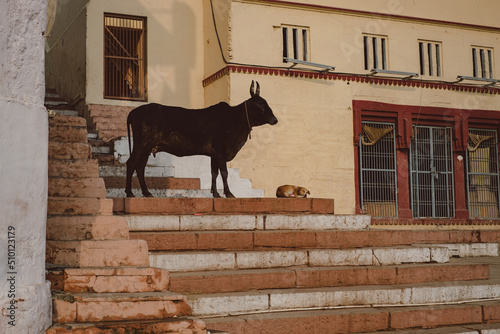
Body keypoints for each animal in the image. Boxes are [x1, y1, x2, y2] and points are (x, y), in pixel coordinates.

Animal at [126, 79, 278, 197]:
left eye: (265, 102)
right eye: (258, 104)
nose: (274, 119)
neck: (234, 119)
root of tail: (134, 111)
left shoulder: (214, 154)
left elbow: (214, 173)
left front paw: (216, 193)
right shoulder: (220, 151)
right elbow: (224, 172)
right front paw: (228, 193)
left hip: (147, 148)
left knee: (140, 167)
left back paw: (146, 193)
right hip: (141, 144)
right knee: (131, 163)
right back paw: (129, 193)